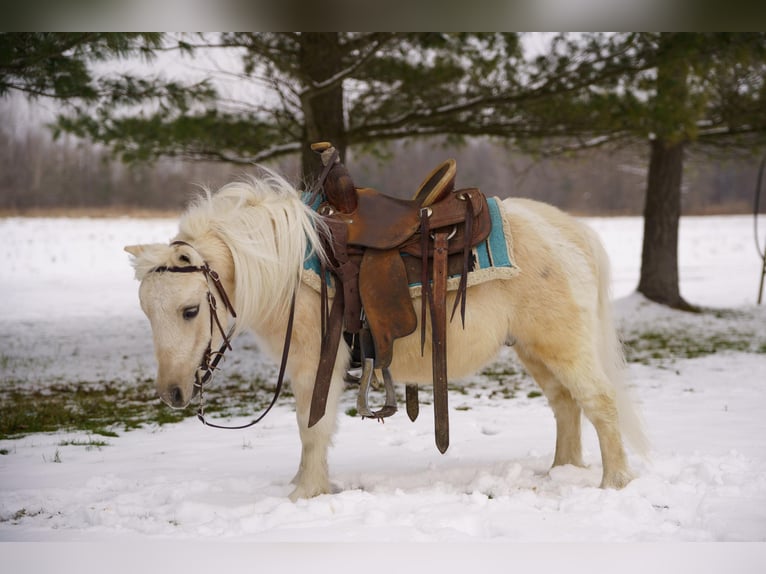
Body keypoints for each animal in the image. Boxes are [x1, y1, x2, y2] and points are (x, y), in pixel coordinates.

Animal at [125, 169, 648, 500]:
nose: (172, 393)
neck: (289, 265)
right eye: (146, 310)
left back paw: (615, 482)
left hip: (563, 346)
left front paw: (305, 492)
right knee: (565, 404)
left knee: (599, 402)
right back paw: (562, 471)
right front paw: (302, 484)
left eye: (190, 310)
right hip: (535, 349)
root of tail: (570, 230)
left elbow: (311, 426)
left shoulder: (316, 362)